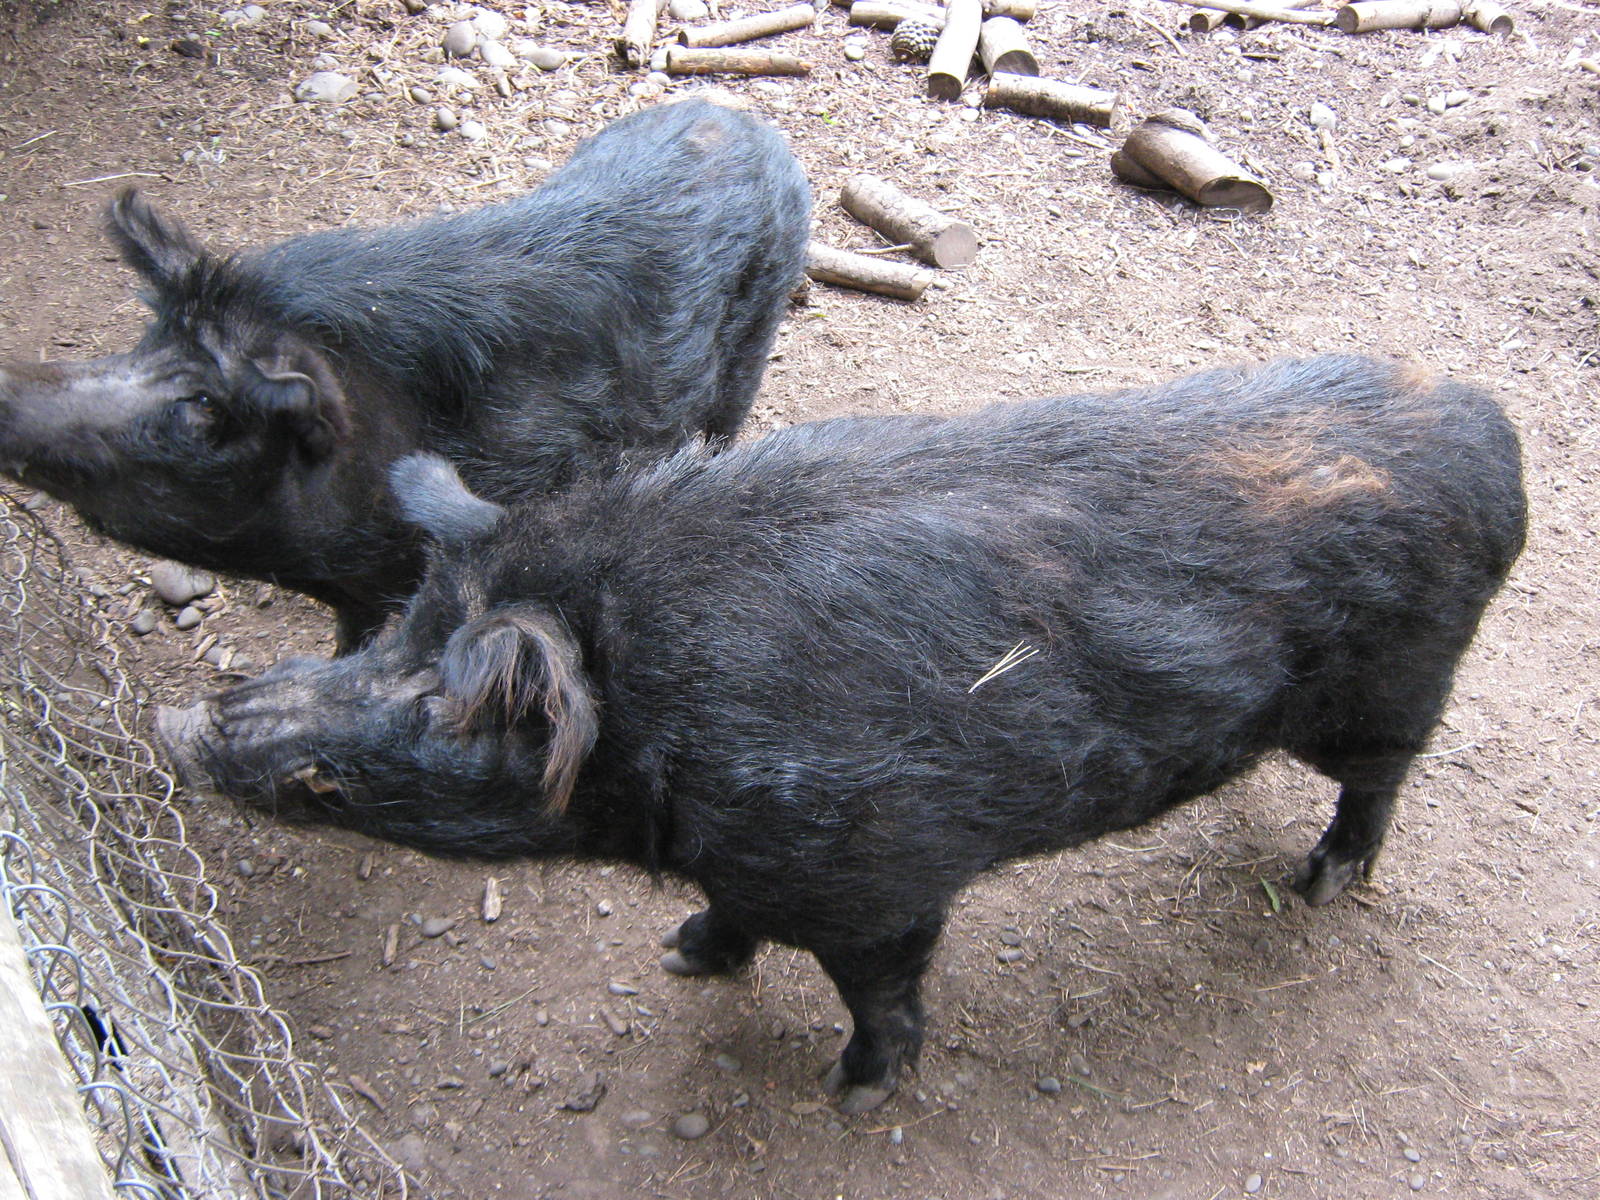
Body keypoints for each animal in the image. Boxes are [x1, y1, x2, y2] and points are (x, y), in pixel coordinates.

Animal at [158, 356, 1527, 1112]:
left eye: (430, 704)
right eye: (393, 633)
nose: (192, 716)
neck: (663, 708)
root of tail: (1492, 431)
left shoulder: (875, 878)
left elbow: (879, 993)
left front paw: (853, 1097)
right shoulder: (752, 858)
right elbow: (730, 920)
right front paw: (681, 956)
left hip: (1394, 684)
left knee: (1382, 784)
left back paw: (1324, 882)